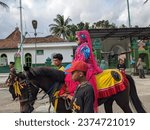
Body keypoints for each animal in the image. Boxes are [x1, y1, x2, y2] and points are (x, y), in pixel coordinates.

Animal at [9, 66, 146, 112]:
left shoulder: (63, 110)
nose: (23, 111)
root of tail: (122, 73)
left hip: (122, 101)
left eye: (24, 88)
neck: (57, 85)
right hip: (108, 101)